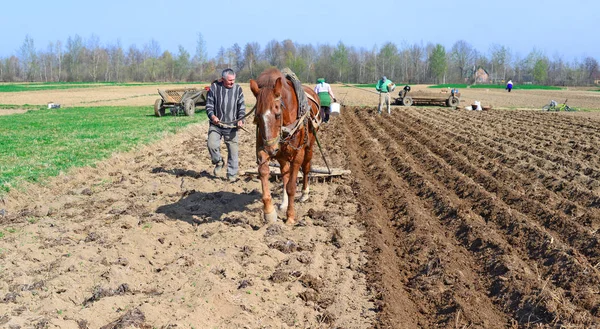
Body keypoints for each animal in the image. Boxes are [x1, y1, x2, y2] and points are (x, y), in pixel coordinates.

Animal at [250, 68, 322, 224]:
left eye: (277, 114)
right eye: (257, 116)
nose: (271, 149)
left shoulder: (298, 154)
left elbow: (291, 187)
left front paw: (290, 217)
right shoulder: (263, 149)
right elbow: (264, 172)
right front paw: (269, 212)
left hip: (309, 147)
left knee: (306, 167)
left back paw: (304, 193)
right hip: (281, 154)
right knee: (284, 172)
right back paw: (283, 202)